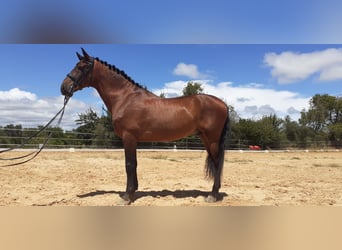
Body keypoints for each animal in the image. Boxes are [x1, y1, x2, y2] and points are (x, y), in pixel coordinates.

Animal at [60, 48, 230, 203]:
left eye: (81, 67)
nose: (63, 88)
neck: (125, 98)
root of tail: (223, 104)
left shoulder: (128, 137)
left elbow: (129, 165)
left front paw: (127, 196)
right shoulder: (133, 139)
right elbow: (134, 164)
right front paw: (133, 191)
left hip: (212, 139)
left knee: (217, 163)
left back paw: (213, 195)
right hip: (206, 139)